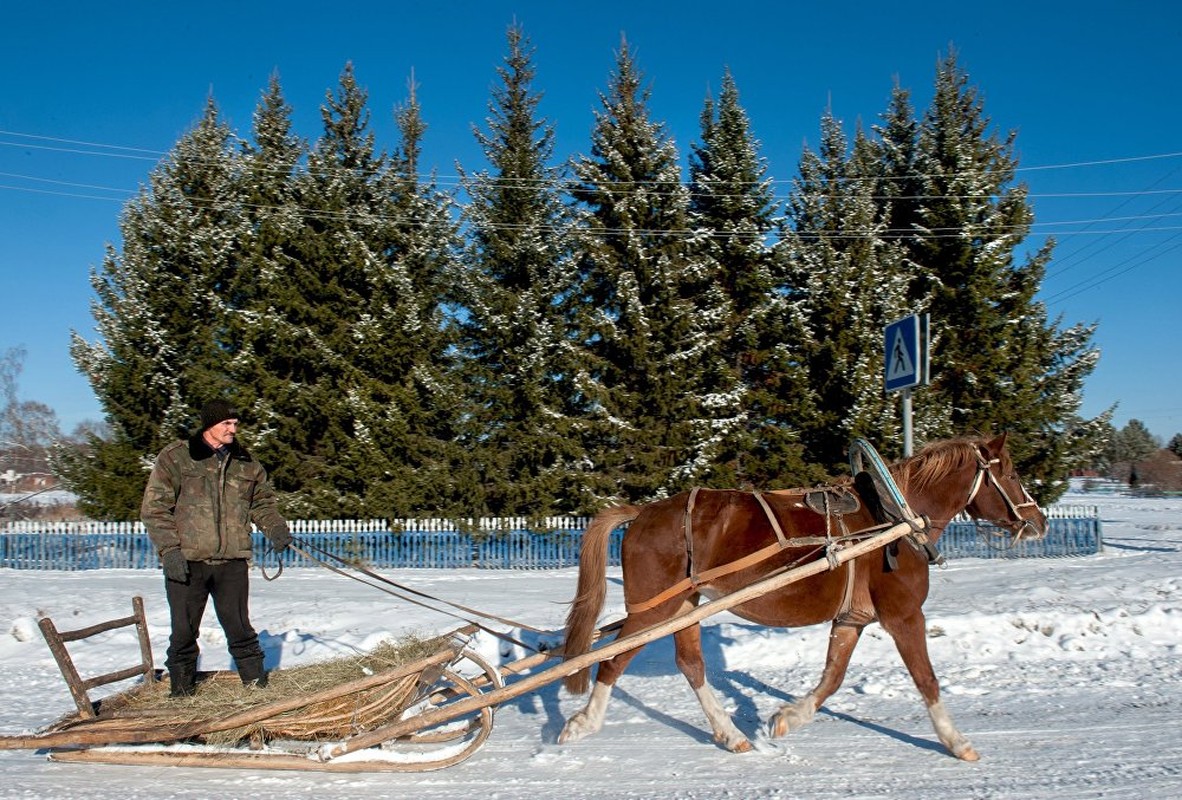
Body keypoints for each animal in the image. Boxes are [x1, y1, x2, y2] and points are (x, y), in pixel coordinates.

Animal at [555, 434, 1044, 756]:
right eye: (1012, 472)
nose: (1038, 521)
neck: (895, 519)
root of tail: (642, 512)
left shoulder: (852, 618)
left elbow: (833, 677)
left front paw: (788, 717)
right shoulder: (904, 615)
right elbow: (926, 679)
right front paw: (957, 742)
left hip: (684, 606)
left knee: (690, 664)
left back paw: (730, 734)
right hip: (653, 609)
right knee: (613, 660)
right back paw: (582, 724)